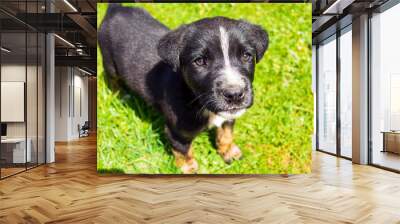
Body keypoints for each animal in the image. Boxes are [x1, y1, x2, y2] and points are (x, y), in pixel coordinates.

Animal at [98, 4, 268, 173]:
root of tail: (116, 8)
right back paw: (121, 96)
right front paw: (189, 168)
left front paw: (229, 152)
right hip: (110, 63)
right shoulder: (177, 132)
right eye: (199, 61)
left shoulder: (229, 115)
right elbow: (183, 151)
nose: (234, 94)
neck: (197, 100)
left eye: (246, 56)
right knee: (112, 80)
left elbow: (226, 132)